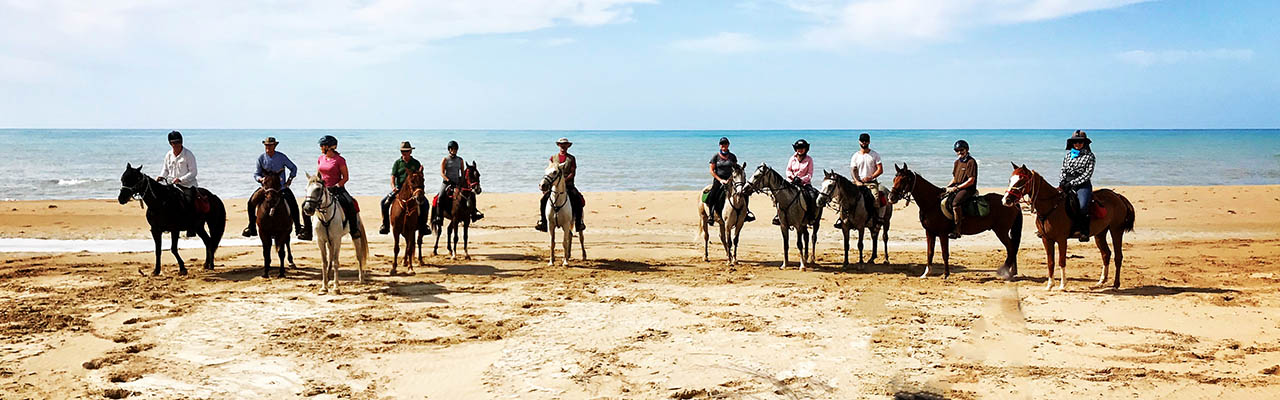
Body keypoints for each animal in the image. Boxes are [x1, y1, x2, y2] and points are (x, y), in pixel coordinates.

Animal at [890, 164, 1018, 279]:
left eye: (903, 180)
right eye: (894, 179)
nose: (891, 197)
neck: (932, 203)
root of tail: (1011, 203)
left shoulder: (942, 234)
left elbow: (944, 254)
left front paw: (946, 275)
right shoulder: (930, 232)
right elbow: (930, 252)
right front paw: (926, 273)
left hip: (1001, 231)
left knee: (1011, 248)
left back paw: (1005, 272)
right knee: (1012, 248)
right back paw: (1011, 272)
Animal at [1003, 163, 1136, 291]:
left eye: (1021, 181)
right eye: (1010, 180)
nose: (1006, 200)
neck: (1051, 207)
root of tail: (1117, 196)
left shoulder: (1062, 239)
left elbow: (1062, 261)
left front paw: (1062, 285)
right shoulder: (1047, 239)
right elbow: (1050, 262)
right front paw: (1050, 285)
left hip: (1116, 230)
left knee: (1118, 256)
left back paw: (1116, 284)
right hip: (1100, 233)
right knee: (1106, 254)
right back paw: (1101, 282)